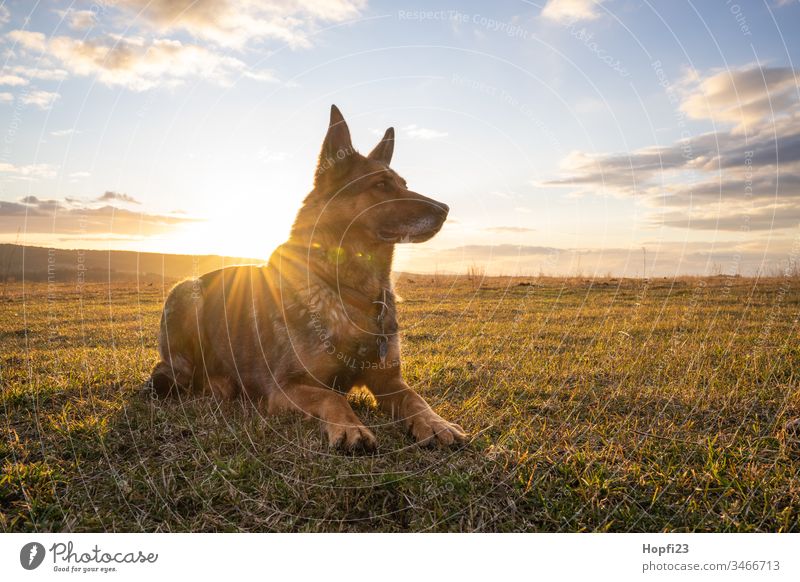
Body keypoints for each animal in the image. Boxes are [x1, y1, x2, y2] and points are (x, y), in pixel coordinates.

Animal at [148, 106, 468, 452]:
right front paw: (350, 428)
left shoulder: (389, 380)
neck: (349, 292)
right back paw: (218, 383)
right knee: (172, 372)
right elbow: (332, 398)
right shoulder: (285, 388)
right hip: (185, 294)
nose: (445, 210)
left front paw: (435, 423)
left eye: (404, 184)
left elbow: (415, 398)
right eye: (381, 185)